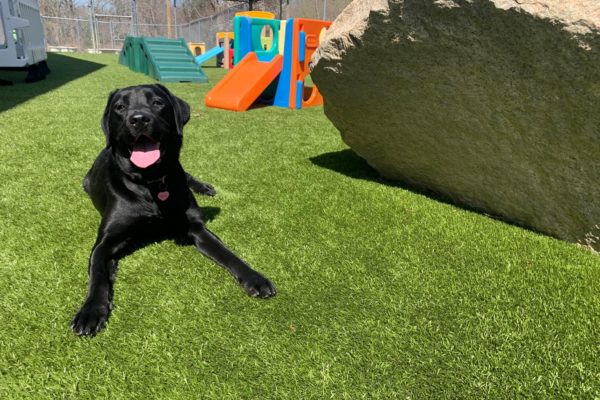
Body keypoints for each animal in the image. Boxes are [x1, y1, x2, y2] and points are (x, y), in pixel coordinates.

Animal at [72, 85, 276, 338]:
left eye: (157, 103)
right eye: (120, 107)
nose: (139, 119)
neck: (151, 182)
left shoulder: (196, 227)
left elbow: (228, 253)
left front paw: (255, 278)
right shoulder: (106, 242)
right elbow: (97, 274)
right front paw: (91, 311)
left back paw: (204, 186)